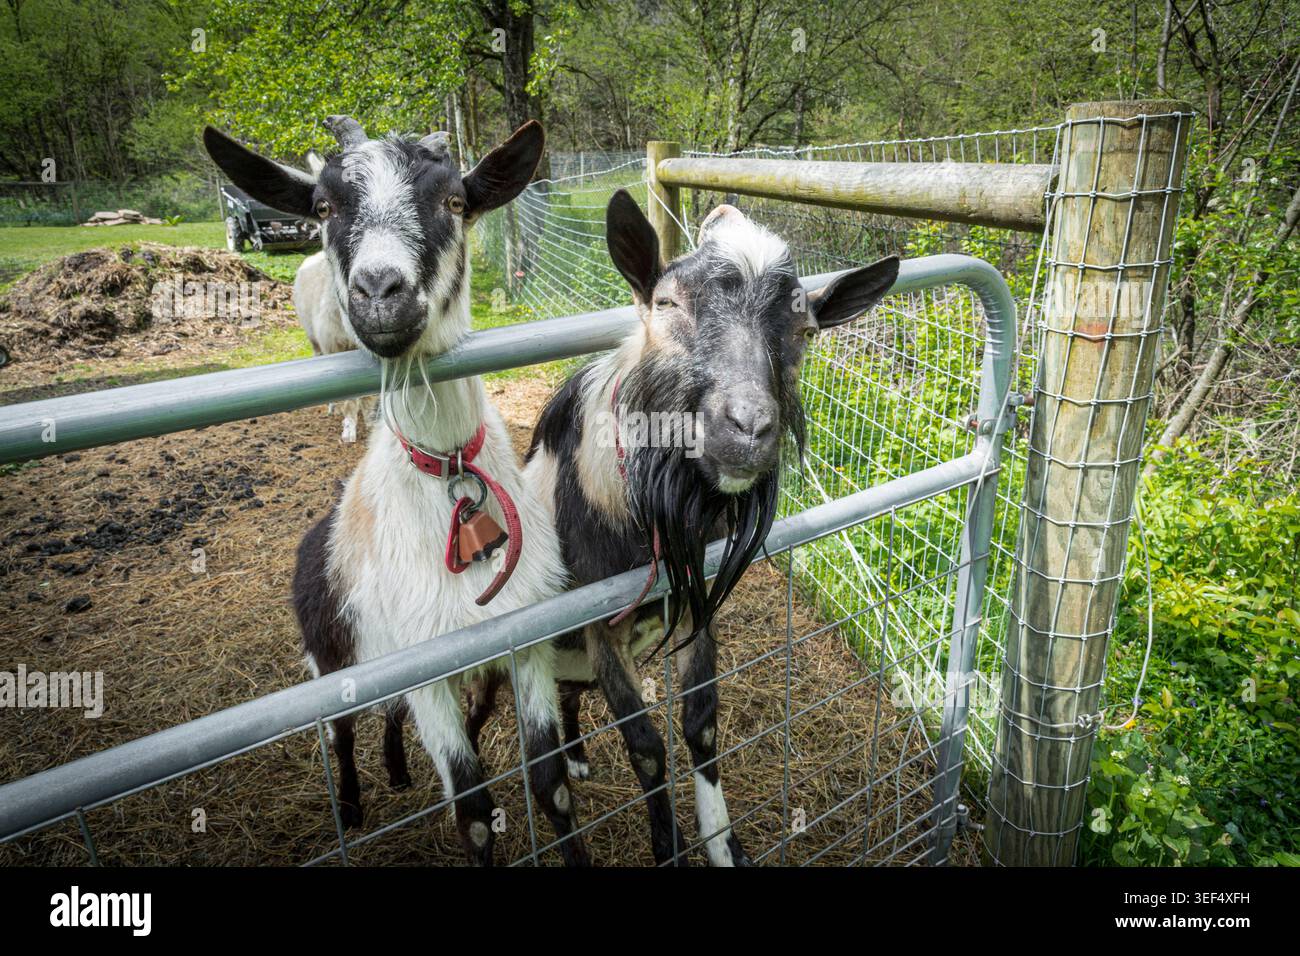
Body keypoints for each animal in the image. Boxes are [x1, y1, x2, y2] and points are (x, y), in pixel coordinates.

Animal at [203, 117, 588, 866]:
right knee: (341, 732)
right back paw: (352, 805)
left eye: (456, 202)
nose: (380, 291)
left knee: (386, 716)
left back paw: (400, 770)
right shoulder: (431, 669)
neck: (446, 472)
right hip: (331, 657)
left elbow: (552, 784)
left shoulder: (525, 641)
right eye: (323, 207)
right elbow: (473, 812)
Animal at [469, 190, 898, 866]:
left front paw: (726, 846)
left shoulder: (699, 604)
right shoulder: (601, 628)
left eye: (805, 330)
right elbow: (647, 748)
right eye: (667, 304)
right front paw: (667, 844)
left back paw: (577, 754)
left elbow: (702, 724)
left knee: (568, 703)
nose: (747, 428)